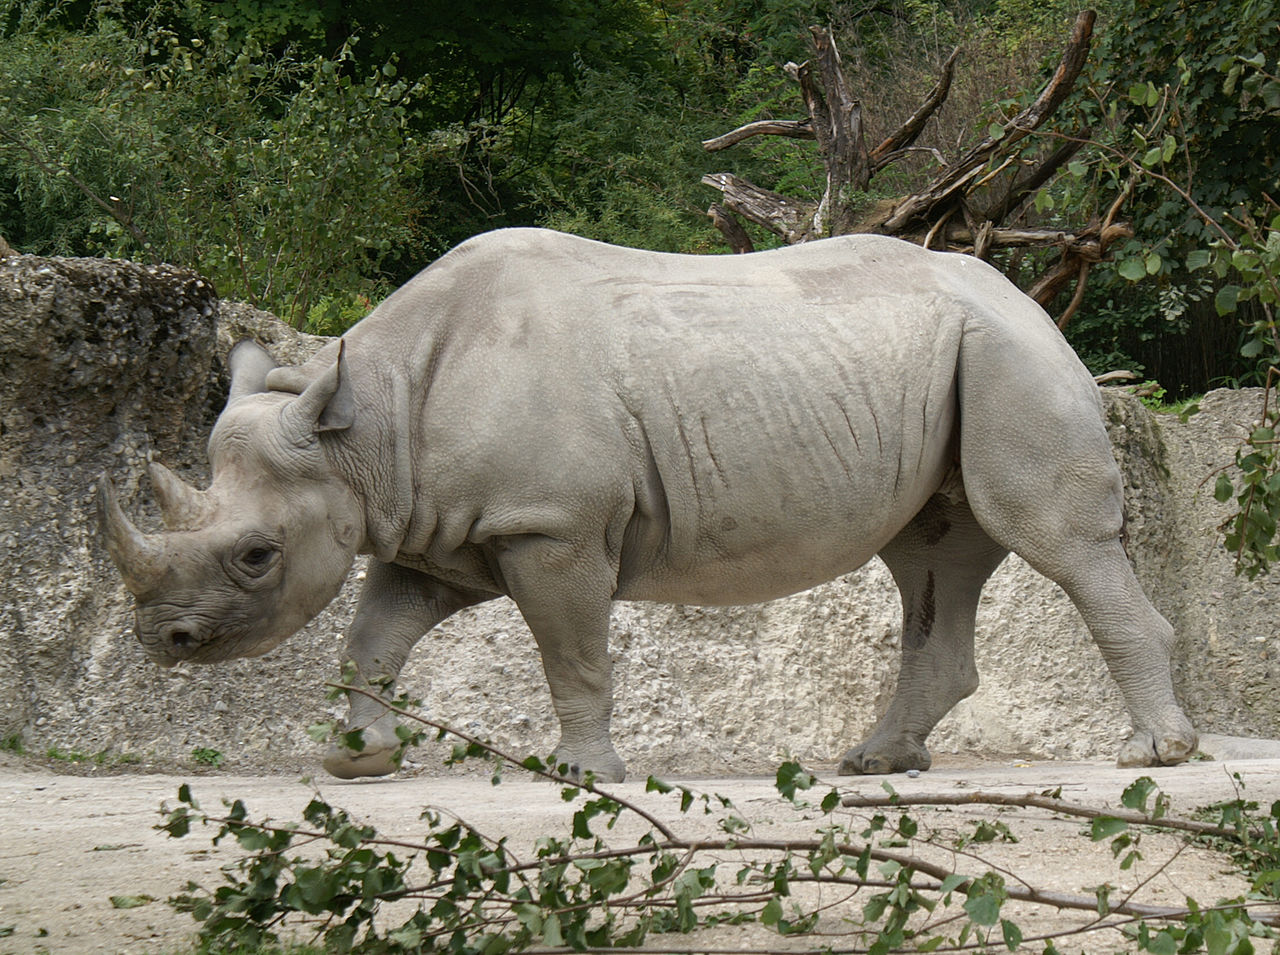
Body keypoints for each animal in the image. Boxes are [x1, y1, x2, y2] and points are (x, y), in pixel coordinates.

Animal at [100, 228, 1197, 782]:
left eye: (254, 555)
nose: (162, 642)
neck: (368, 429)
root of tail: (1027, 295)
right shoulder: (435, 526)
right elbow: (372, 637)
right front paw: (355, 759)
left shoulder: (549, 523)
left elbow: (572, 654)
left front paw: (588, 775)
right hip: (959, 358)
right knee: (933, 559)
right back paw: (875, 762)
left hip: (1011, 356)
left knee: (1049, 540)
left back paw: (1155, 755)